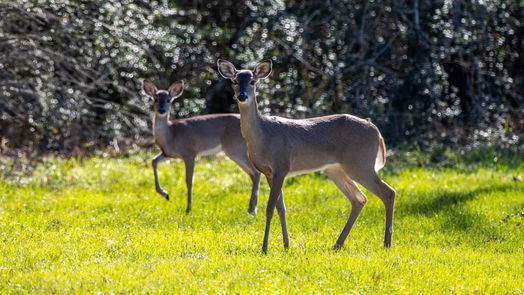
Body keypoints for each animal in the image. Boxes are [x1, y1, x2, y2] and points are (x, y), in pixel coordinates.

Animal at [141, 80, 262, 215]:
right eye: (155, 99)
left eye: (168, 100)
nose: (161, 110)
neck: (171, 134)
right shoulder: (169, 154)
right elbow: (153, 161)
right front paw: (165, 194)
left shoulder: (189, 153)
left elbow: (189, 181)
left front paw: (188, 208)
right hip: (235, 151)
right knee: (252, 173)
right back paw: (252, 208)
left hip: (236, 149)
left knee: (256, 172)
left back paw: (252, 209)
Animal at [218, 59, 398, 253]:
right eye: (234, 81)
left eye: (253, 81)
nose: (242, 96)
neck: (263, 135)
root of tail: (376, 131)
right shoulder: (269, 172)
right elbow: (281, 208)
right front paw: (286, 245)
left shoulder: (281, 165)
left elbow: (270, 208)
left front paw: (265, 248)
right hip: (335, 169)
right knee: (359, 198)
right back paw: (338, 244)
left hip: (361, 164)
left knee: (388, 192)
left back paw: (387, 243)